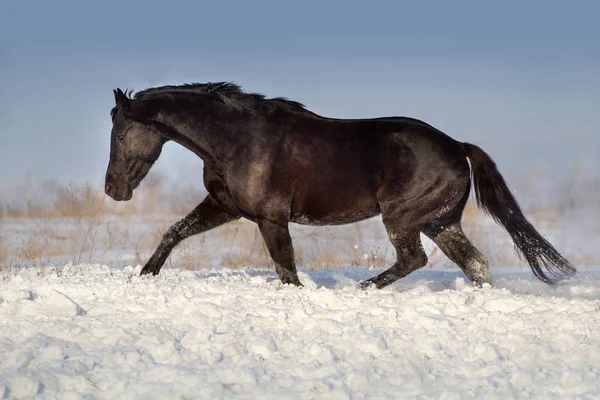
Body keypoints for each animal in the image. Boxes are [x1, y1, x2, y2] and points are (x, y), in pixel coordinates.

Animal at [104, 82, 576, 288]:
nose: (112, 190)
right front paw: (145, 275)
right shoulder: (226, 206)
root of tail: (457, 147)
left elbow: (286, 268)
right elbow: (175, 231)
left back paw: (364, 289)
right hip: (439, 221)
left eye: (122, 134)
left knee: (413, 259)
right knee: (474, 264)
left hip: (404, 218)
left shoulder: (270, 217)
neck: (236, 139)